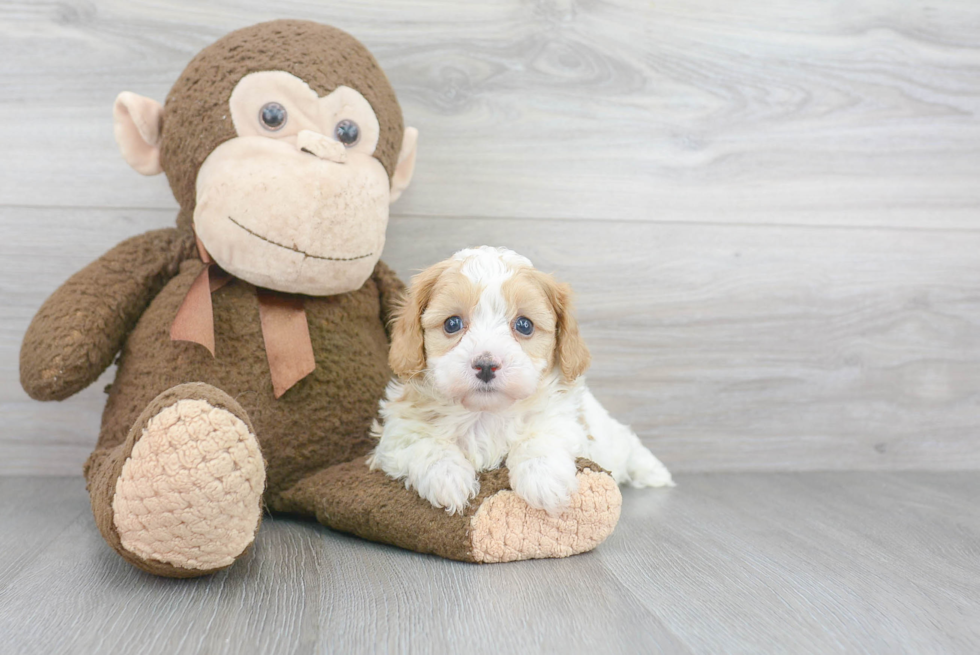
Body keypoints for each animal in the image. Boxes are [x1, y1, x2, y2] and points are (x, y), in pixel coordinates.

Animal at [368, 249, 672, 516]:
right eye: (452, 323)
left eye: (524, 325)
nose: (486, 364)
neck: (485, 414)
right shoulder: (398, 432)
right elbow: (424, 443)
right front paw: (447, 477)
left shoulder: (564, 421)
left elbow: (541, 437)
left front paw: (543, 480)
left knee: (630, 445)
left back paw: (655, 473)